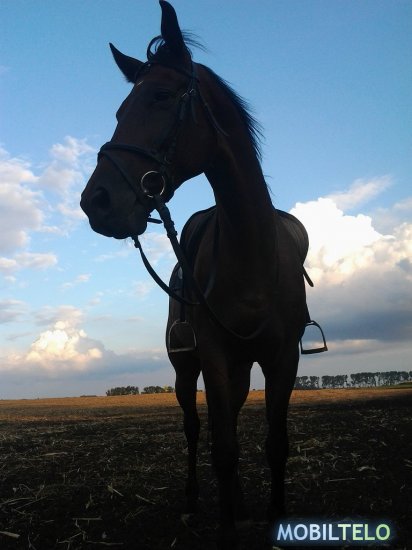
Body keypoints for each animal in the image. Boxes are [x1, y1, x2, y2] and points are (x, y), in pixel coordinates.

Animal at [81, 1, 323, 547]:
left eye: (161, 96)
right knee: (197, 429)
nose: (95, 202)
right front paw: (228, 523)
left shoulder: (282, 359)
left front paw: (268, 514)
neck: (251, 256)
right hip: (186, 369)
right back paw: (195, 503)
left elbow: (274, 444)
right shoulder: (211, 355)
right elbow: (223, 447)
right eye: (120, 113)